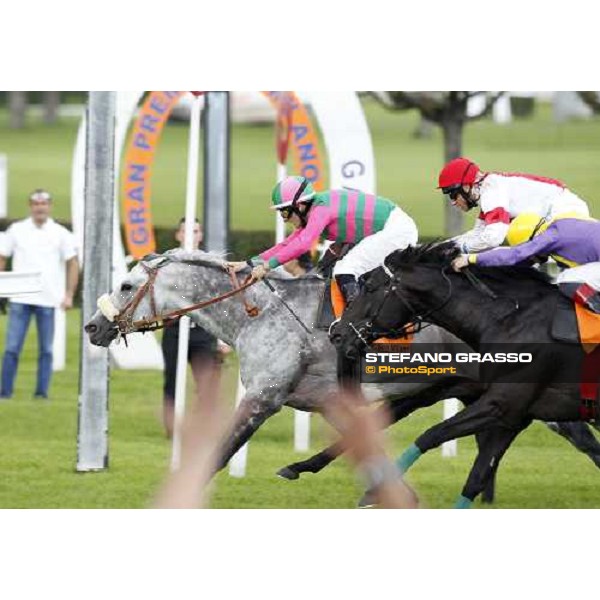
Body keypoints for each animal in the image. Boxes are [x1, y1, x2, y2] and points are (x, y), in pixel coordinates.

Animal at [83, 250, 600, 482]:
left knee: (582, 438)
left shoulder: (263, 398)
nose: (91, 326)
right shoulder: (331, 403)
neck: (258, 313)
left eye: (126, 285)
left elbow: (220, 452)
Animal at [328, 241, 600, 508]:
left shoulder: (500, 403)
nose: (337, 333)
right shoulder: (513, 416)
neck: (507, 320)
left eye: (369, 286)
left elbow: (432, 434)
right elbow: (476, 477)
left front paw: (376, 491)